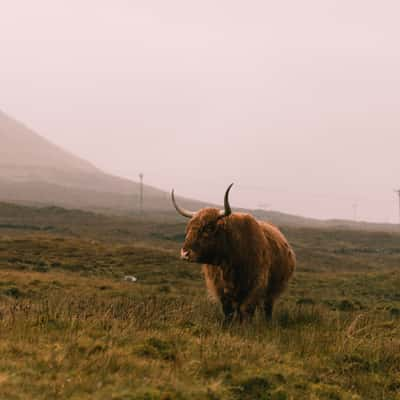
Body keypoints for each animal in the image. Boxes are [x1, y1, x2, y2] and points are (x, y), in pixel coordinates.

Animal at [170, 184, 296, 322]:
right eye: (188, 229)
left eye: (208, 228)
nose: (185, 253)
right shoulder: (221, 289)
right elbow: (228, 311)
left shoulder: (256, 285)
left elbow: (247, 310)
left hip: (273, 290)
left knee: (267, 307)